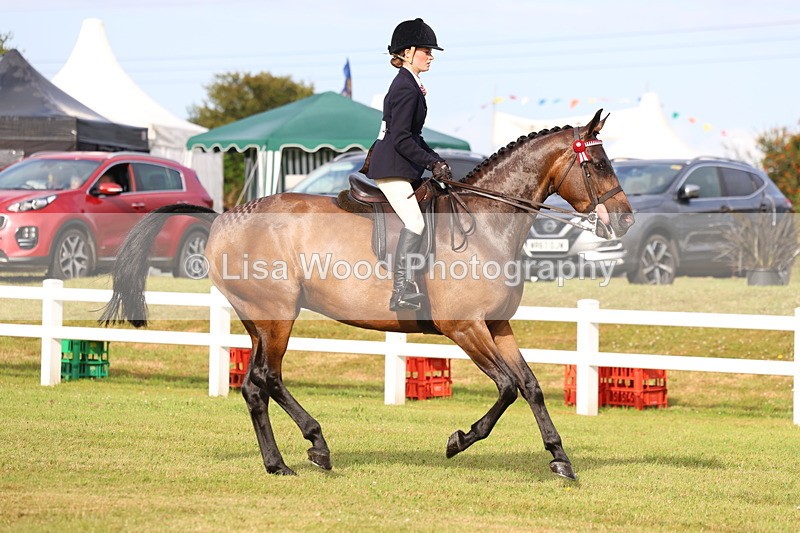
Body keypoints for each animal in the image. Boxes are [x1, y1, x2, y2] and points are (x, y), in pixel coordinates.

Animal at [101, 109, 634, 481]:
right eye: (598, 164)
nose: (626, 219)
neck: (484, 223)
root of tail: (226, 216)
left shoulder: (496, 325)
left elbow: (530, 386)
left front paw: (560, 459)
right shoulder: (464, 327)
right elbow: (505, 387)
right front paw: (459, 440)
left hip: (259, 320)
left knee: (254, 386)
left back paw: (278, 463)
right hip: (277, 315)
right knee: (269, 378)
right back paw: (317, 446)